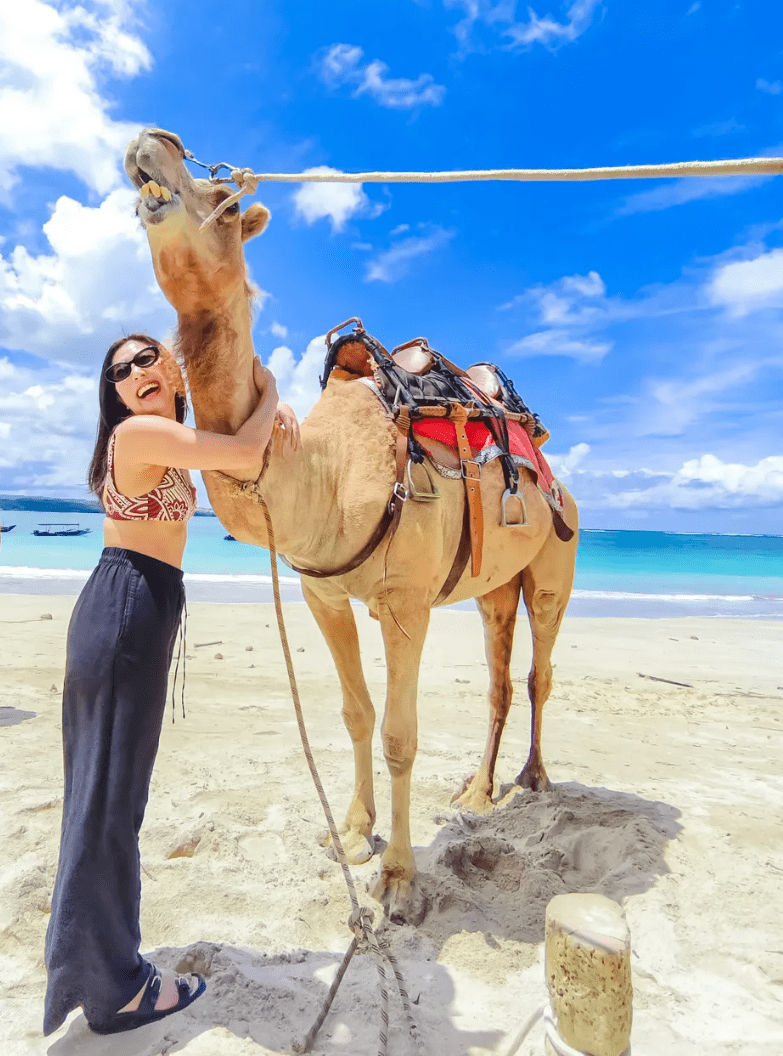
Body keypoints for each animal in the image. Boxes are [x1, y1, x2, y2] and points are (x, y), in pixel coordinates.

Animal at [123, 128, 579, 923]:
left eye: (224, 200)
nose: (156, 141)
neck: (321, 473)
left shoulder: (404, 605)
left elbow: (399, 733)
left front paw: (398, 878)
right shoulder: (323, 594)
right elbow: (356, 714)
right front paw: (354, 830)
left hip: (557, 562)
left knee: (538, 672)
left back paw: (533, 778)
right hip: (496, 585)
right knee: (498, 675)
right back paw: (477, 791)